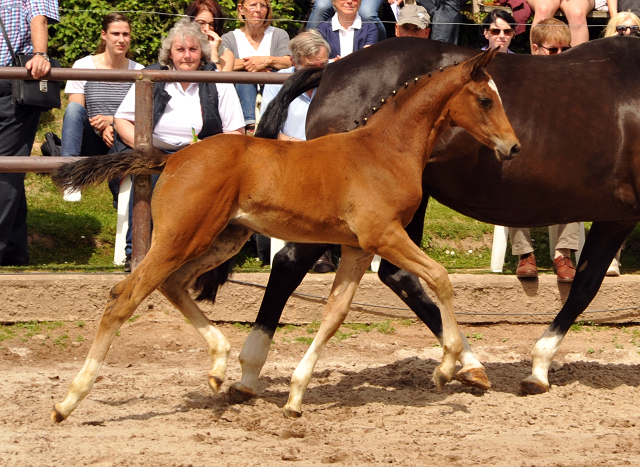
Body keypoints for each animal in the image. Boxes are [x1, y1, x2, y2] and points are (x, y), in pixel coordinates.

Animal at [51, 49, 520, 422]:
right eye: (485, 99)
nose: (513, 147)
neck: (385, 149)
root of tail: (172, 158)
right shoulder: (382, 236)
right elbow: (439, 277)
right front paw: (446, 368)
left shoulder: (355, 249)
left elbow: (334, 315)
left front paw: (295, 396)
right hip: (181, 237)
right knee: (124, 298)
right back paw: (68, 401)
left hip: (224, 237)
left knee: (174, 285)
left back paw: (220, 367)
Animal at [225, 35, 640, 402]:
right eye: (485, 100)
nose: (512, 147)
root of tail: (331, 68)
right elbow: (585, 288)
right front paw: (538, 369)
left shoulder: (615, 216)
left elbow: (584, 285)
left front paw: (537, 367)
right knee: (291, 263)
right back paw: (249, 374)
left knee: (396, 275)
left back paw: (468, 364)